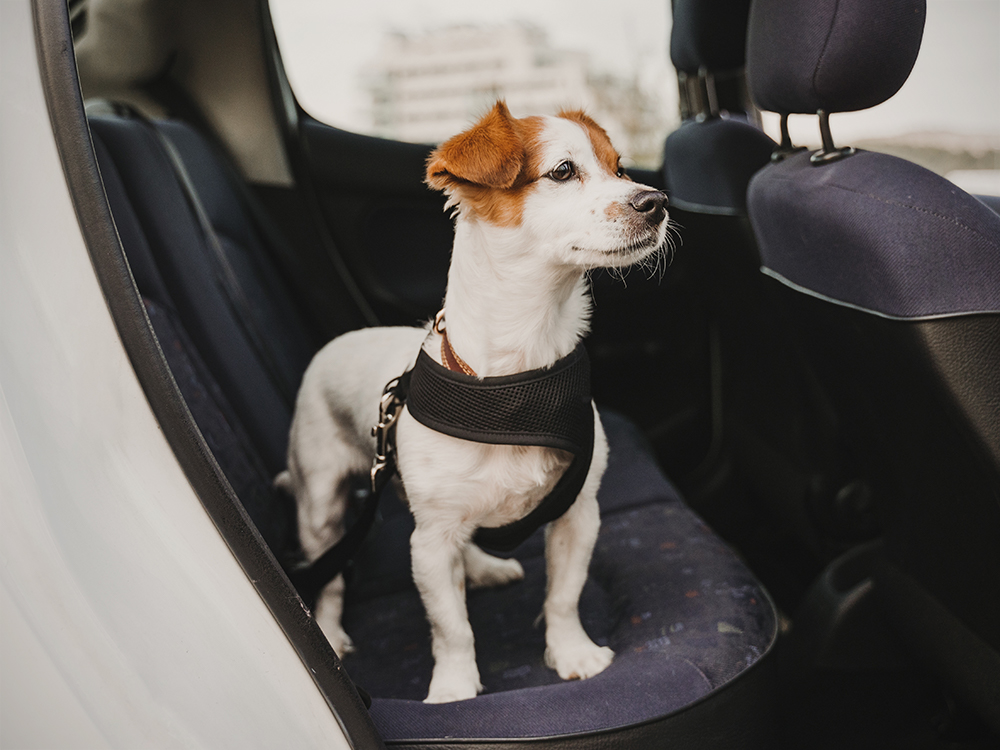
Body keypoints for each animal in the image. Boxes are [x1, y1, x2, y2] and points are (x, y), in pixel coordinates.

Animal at [280, 101, 672, 704]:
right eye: (563, 171)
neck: (519, 381)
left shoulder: (577, 514)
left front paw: (572, 653)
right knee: (328, 576)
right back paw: (327, 630)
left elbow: (563, 596)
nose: (656, 202)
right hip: (321, 505)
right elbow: (451, 627)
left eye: (620, 168)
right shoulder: (428, 543)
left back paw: (484, 567)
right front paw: (454, 688)